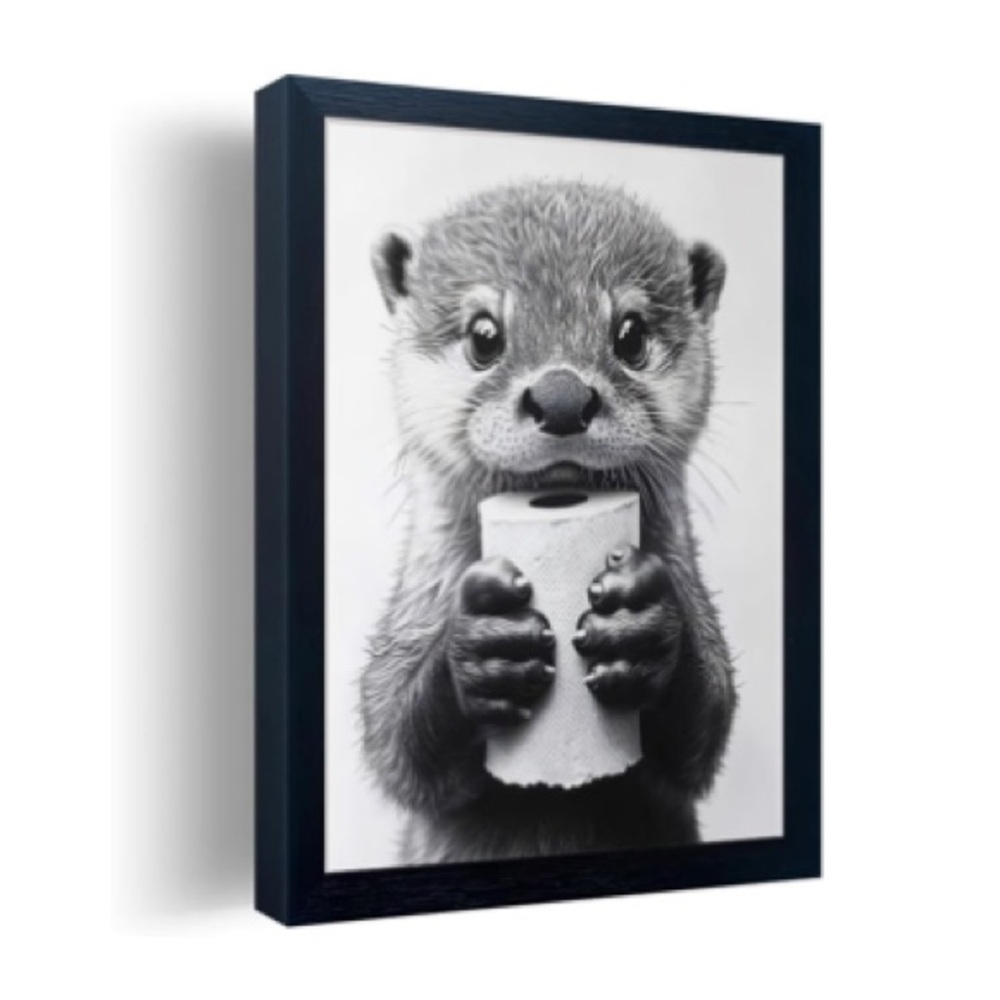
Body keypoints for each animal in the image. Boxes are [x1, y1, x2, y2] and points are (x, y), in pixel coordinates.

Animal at [361, 180, 736, 864]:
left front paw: (643, 626)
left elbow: (706, 728)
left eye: (631, 335)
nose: (562, 396)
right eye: (484, 335)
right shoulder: (407, 622)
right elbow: (392, 739)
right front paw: (481, 652)